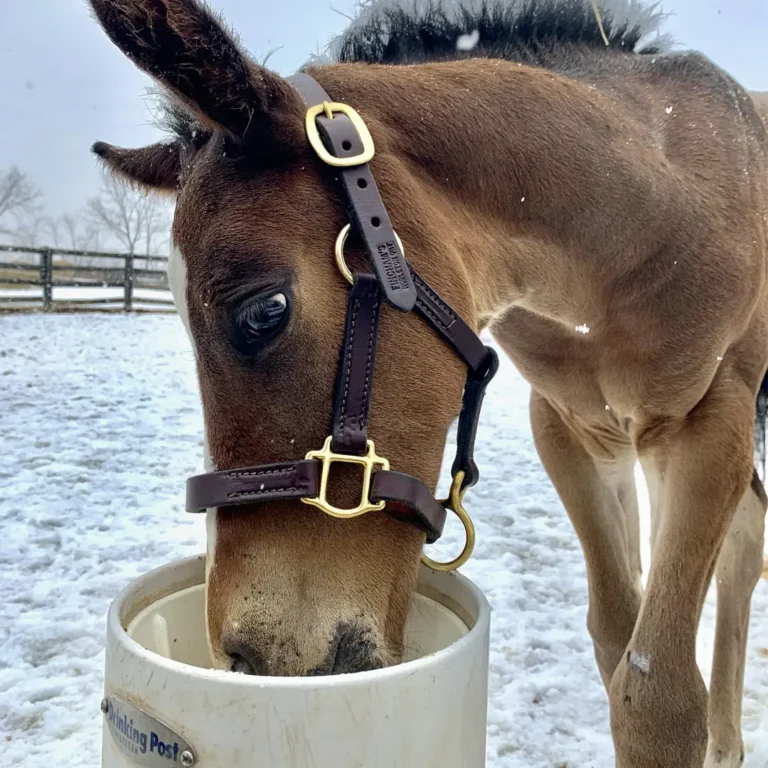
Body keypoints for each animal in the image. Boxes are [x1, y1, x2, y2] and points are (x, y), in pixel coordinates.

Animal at [86, 1, 767, 765]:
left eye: (264, 310)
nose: (246, 657)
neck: (646, 219)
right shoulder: (572, 428)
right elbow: (616, 636)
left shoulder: (709, 423)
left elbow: (660, 696)